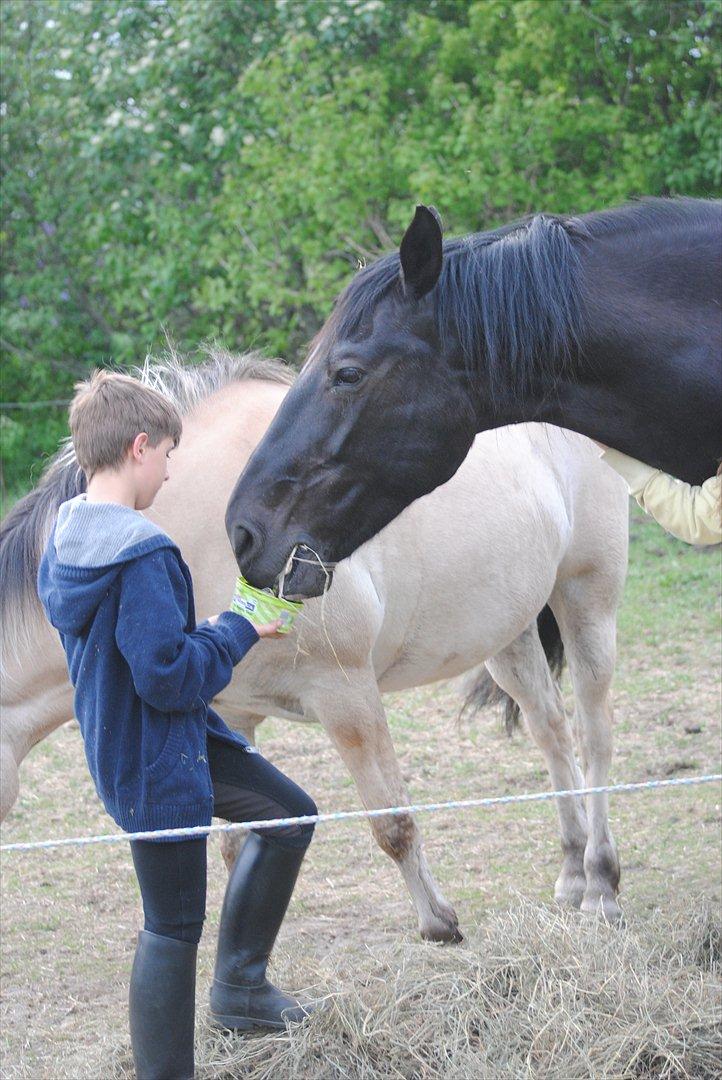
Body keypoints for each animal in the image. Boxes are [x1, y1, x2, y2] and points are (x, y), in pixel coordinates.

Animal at [1, 352, 625, 937]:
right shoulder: (233, 714)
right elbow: (236, 844)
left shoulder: (347, 696)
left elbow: (393, 823)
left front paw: (439, 923)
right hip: (506, 633)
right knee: (551, 731)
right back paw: (572, 875)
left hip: (585, 599)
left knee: (594, 735)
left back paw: (600, 884)